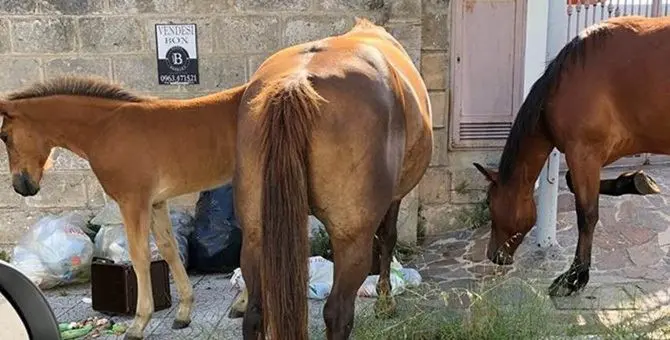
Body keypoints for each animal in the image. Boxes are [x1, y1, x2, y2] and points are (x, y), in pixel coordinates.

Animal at [0, 77, 248, 340]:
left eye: (4, 135)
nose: (21, 186)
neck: (104, 129)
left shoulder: (133, 202)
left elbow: (139, 256)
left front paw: (138, 324)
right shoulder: (156, 202)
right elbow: (168, 249)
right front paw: (183, 312)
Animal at [236, 17, 434, 340]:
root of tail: (296, 82)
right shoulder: (394, 199)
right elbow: (388, 237)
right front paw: (385, 302)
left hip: (255, 235)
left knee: (255, 312)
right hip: (351, 239)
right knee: (338, 313)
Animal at [476, 15, 670, 298]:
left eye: (489, 201)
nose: (494, 255)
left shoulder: (583, 152)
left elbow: (586, 215)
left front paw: (575, 277)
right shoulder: (603, 151)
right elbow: (570, 181)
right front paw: (635, 182)